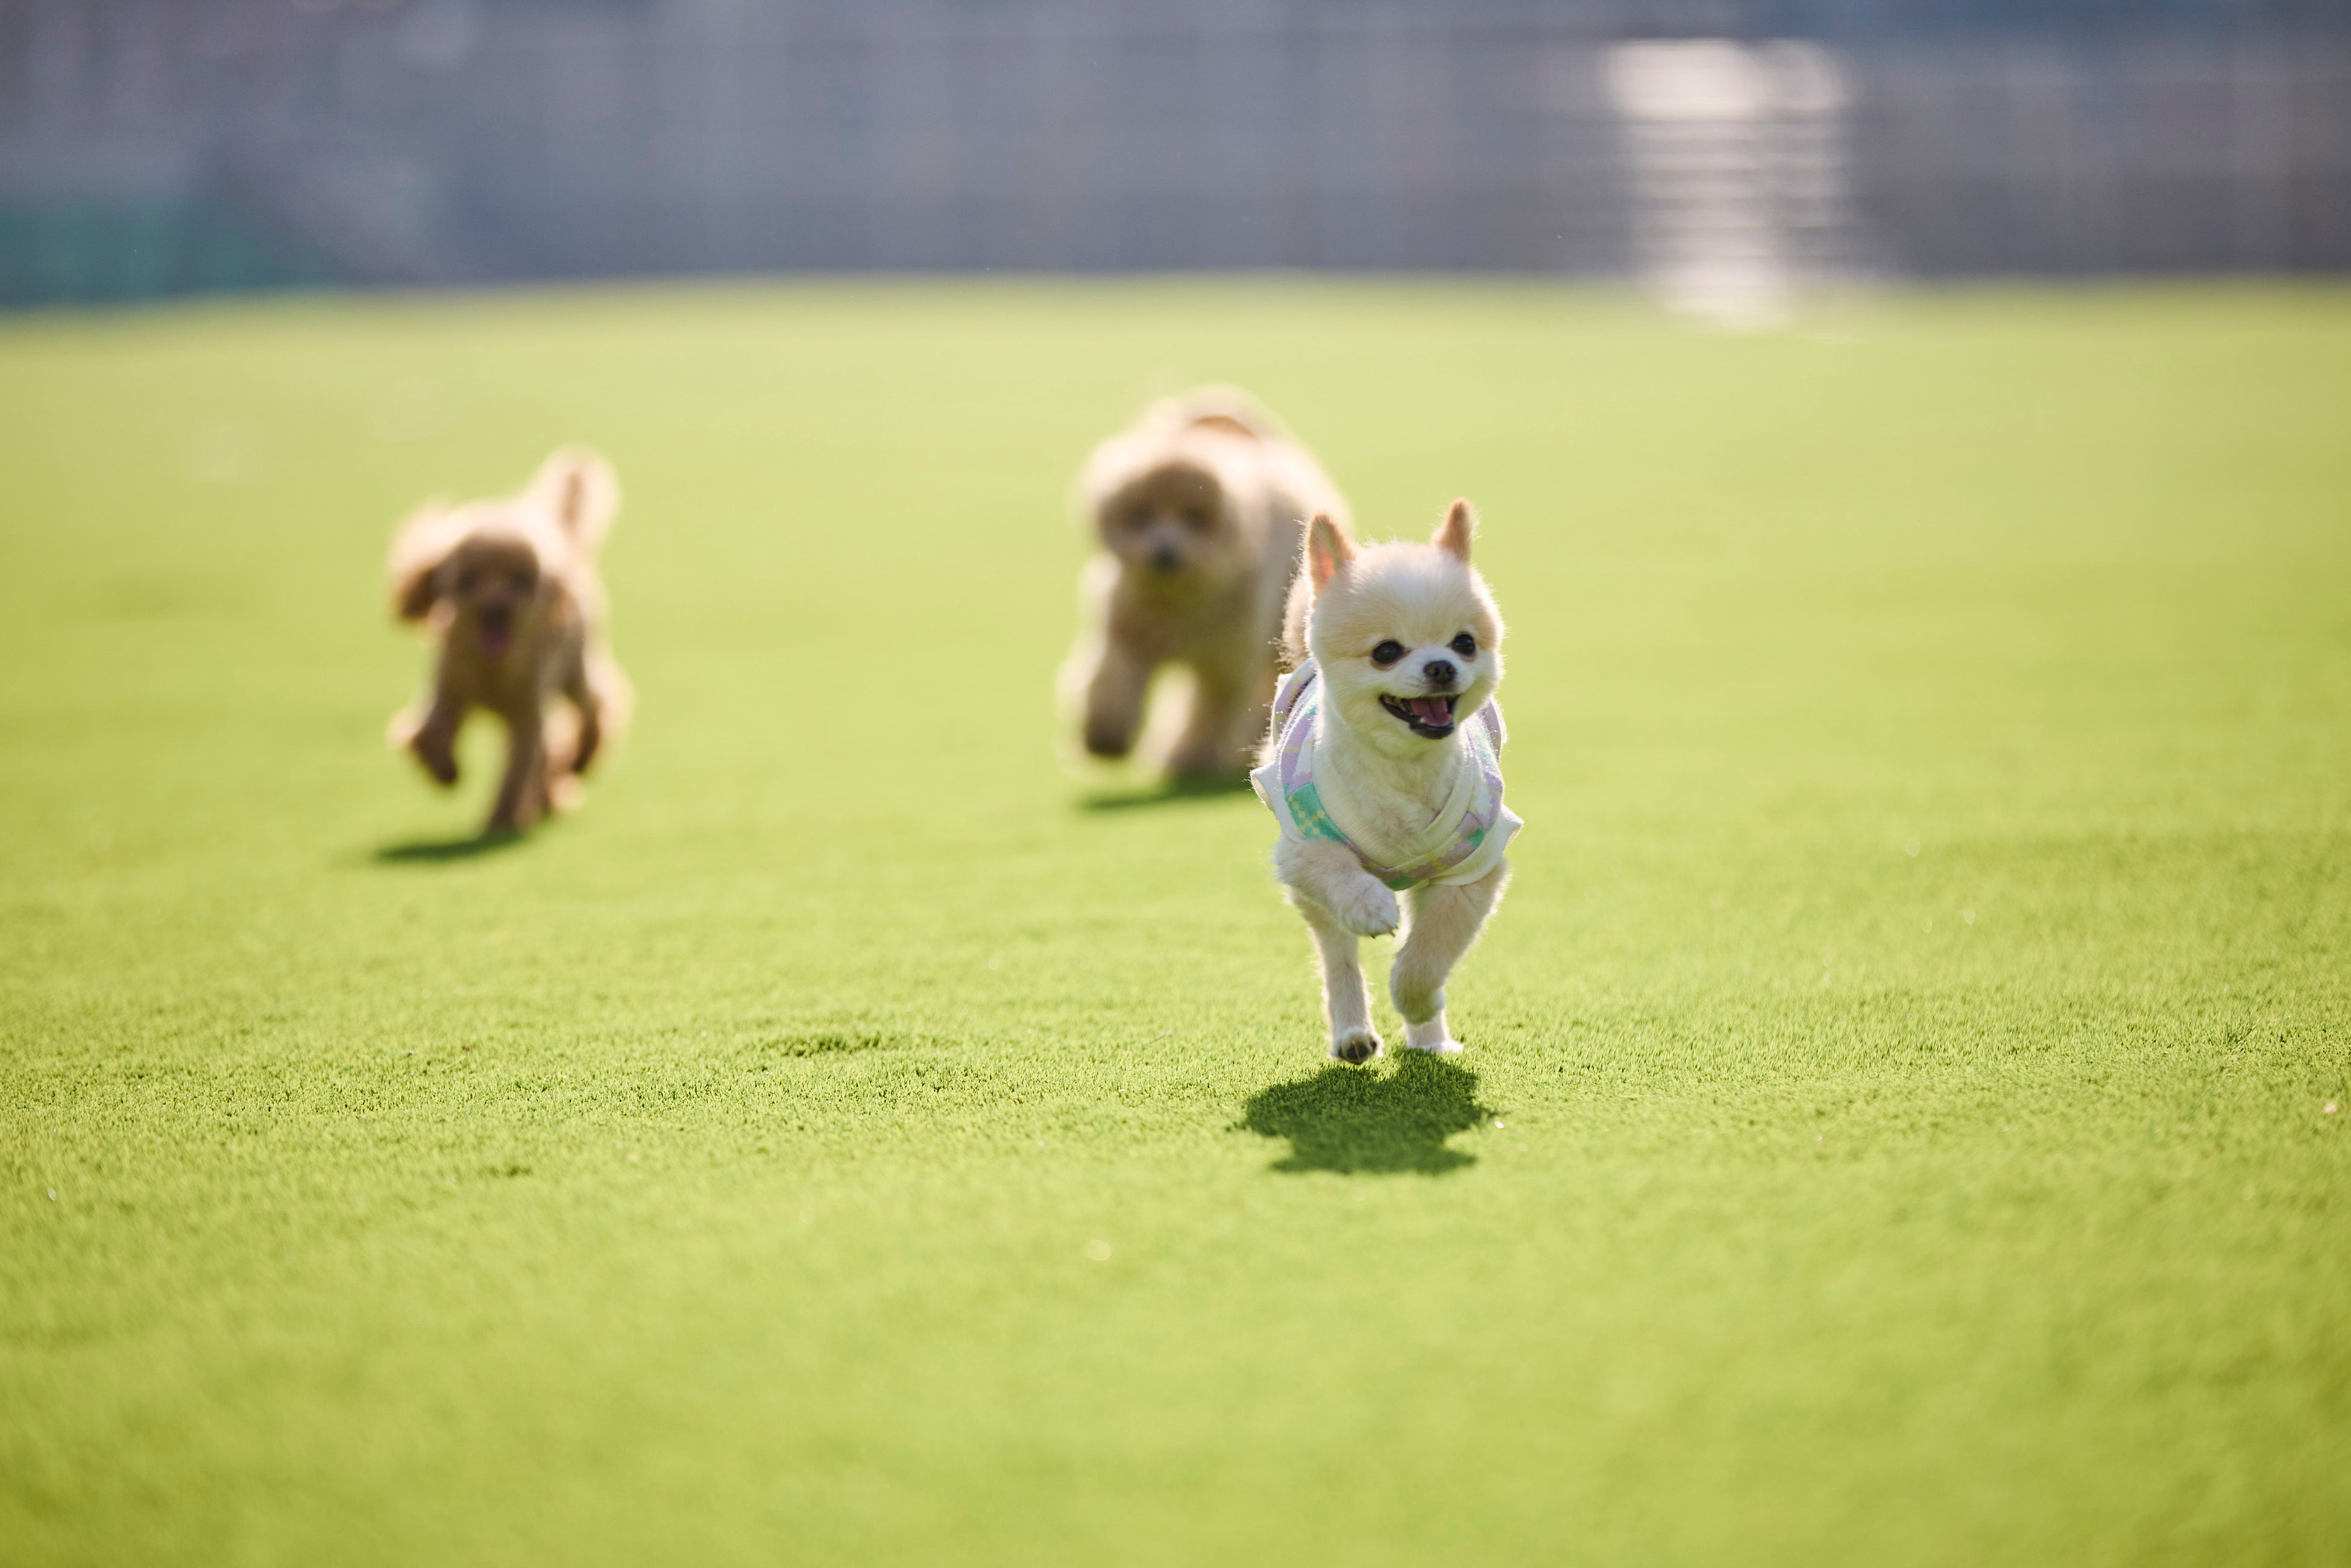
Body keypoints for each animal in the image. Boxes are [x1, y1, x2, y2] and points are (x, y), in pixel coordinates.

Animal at [385, 446, 630, 832]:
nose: (496, 609)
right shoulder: (448, 691)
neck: (492, 668)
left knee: (597, 706)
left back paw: (581, 759)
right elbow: (429, 733)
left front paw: (501, 820)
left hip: (576, 666)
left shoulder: (528, 714)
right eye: (468, 579)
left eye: (521, 580)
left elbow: (518, 770)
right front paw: (445, 771)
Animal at [1062, 390, 1354, 780]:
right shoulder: (1127, 638)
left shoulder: (1223, 663)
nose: (1164, 553)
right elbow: (1111, 684)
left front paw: (1192, 756)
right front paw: (1104, 736)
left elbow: (1208, 715)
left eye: (1194, 517)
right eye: (1143, 514)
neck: (1179, 602)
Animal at [1250, 505, 1523, 1067]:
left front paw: (1419, 1006)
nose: (1442, 665)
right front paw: (1371, 905)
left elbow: (1427, 957)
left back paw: (1431, 1039)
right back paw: (1352, 1032)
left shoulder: (1471, 873)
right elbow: (1338, 871)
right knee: (1338, 956)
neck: (1404, 768)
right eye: (1386, 651)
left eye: (1466, 643)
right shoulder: (1301, 848)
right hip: (1313, 899)